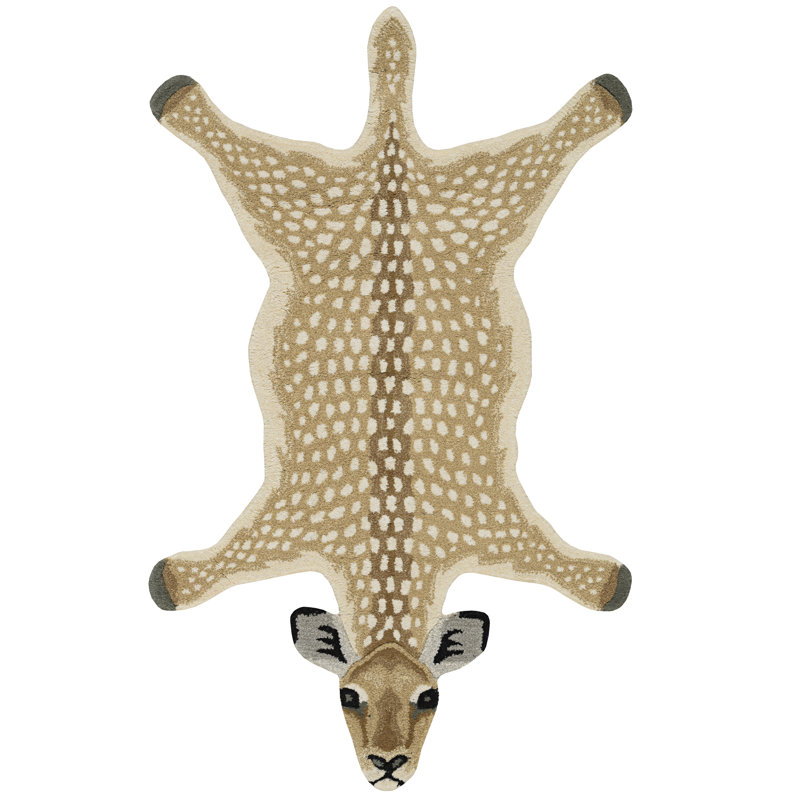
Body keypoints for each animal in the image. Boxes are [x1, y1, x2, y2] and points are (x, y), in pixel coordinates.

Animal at [148, 7, 632, 788]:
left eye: (431, 696)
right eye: (345, 695)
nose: (388, 766)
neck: (391, 534)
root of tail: (392, 148)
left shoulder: (501, 527)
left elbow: (578, 575)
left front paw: (601, 577)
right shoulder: (278, 524)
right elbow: (199, 574)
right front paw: (178, 577)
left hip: (483, 192)